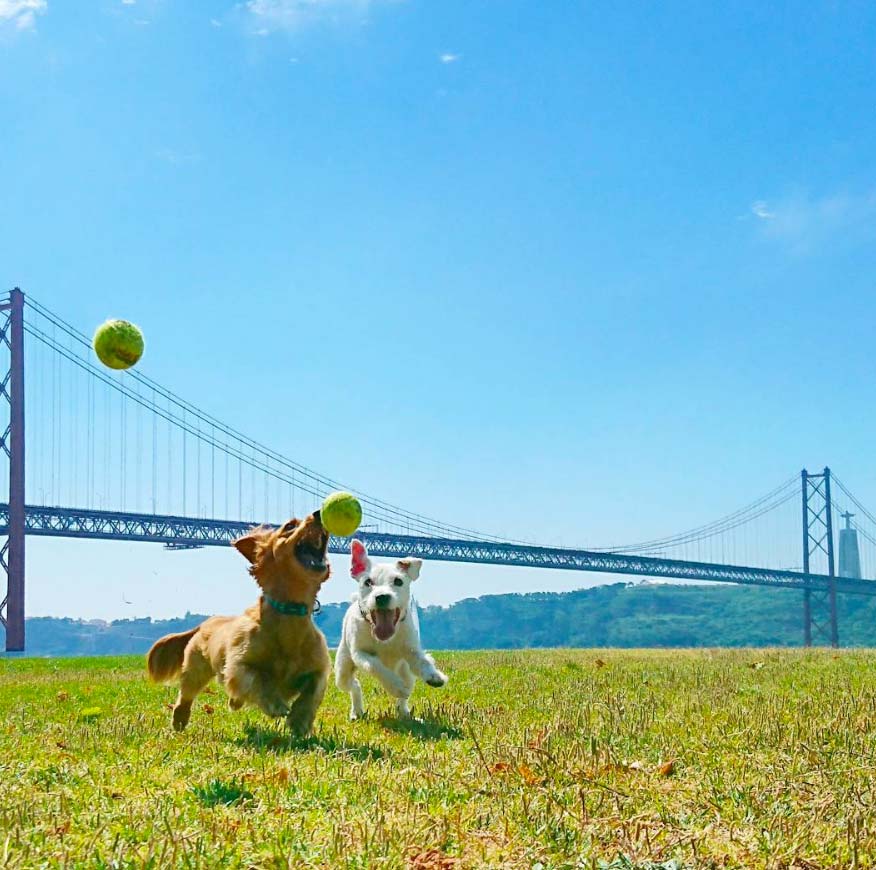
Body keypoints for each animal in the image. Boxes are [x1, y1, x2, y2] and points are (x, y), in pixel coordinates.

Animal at [147, 510, 332, 736]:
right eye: (289, 526)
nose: (319, 513)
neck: (289, 614)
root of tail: (206, 623)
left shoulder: (319, 669)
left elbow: (312, 691)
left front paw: (300, 720)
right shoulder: (239, 665)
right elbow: (259, 678)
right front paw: (275, 703)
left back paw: (234, 703)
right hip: (196, 669)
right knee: (186, 695)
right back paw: (179, 720)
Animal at [334, 540, 448, 724]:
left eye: (398, 581)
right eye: (368, 582)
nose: (381, 597)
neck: (385, 639)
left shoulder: (411, 650)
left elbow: (422, 661)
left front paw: (434, 676)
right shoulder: (360, 654)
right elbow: (375, 666)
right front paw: (395, 686)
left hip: (406, 673)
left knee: (404, 696)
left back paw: (405, 714)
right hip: (342, 671)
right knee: (354, 685)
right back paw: (356, 711)